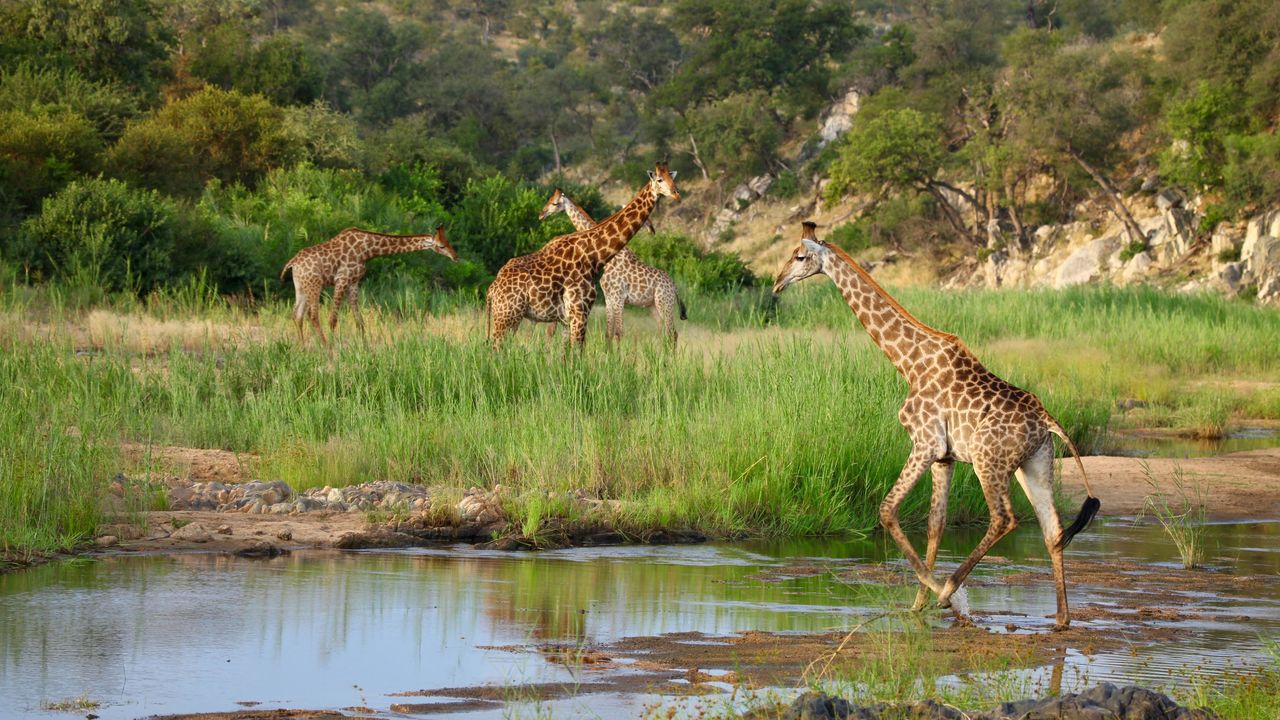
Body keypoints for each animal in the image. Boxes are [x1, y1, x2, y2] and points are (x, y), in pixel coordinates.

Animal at [281, 225, 460, 345]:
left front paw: (364, 347)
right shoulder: (342, 279)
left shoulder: (353, 282)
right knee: (312, 315)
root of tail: (292, 263)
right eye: (441, 245)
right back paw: (324, 346)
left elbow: (359, 321)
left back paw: (303, 347)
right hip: (314, 284)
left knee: (297, 314)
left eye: (449, 242)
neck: (368, 250)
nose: (456, 257)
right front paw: (334, 347)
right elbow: (333, 319)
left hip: (301, 286)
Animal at [535, 188, 686, 345]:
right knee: (664, 333)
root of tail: (675, 288)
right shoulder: (609, 297)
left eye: (554, 203)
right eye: (550, 200)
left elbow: (618, 333)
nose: (541, 214)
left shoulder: (618, 296)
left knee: (672, 334)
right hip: (654, 307)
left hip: (665, 304)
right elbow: (609, 333)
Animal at [768, 220, 1100, 627]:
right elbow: (935, 525)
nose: (777, 283)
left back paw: (950, 590)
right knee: (1052, 530)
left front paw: (938, 593)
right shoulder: (944, 456)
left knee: (1004, 518)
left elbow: (887, 510)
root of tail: (1047, 420)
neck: (910, 362)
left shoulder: (924, 442)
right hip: (1034, 464)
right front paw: (917, 606)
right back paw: (1061, 619)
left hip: (990, 462)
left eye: (800, 256)